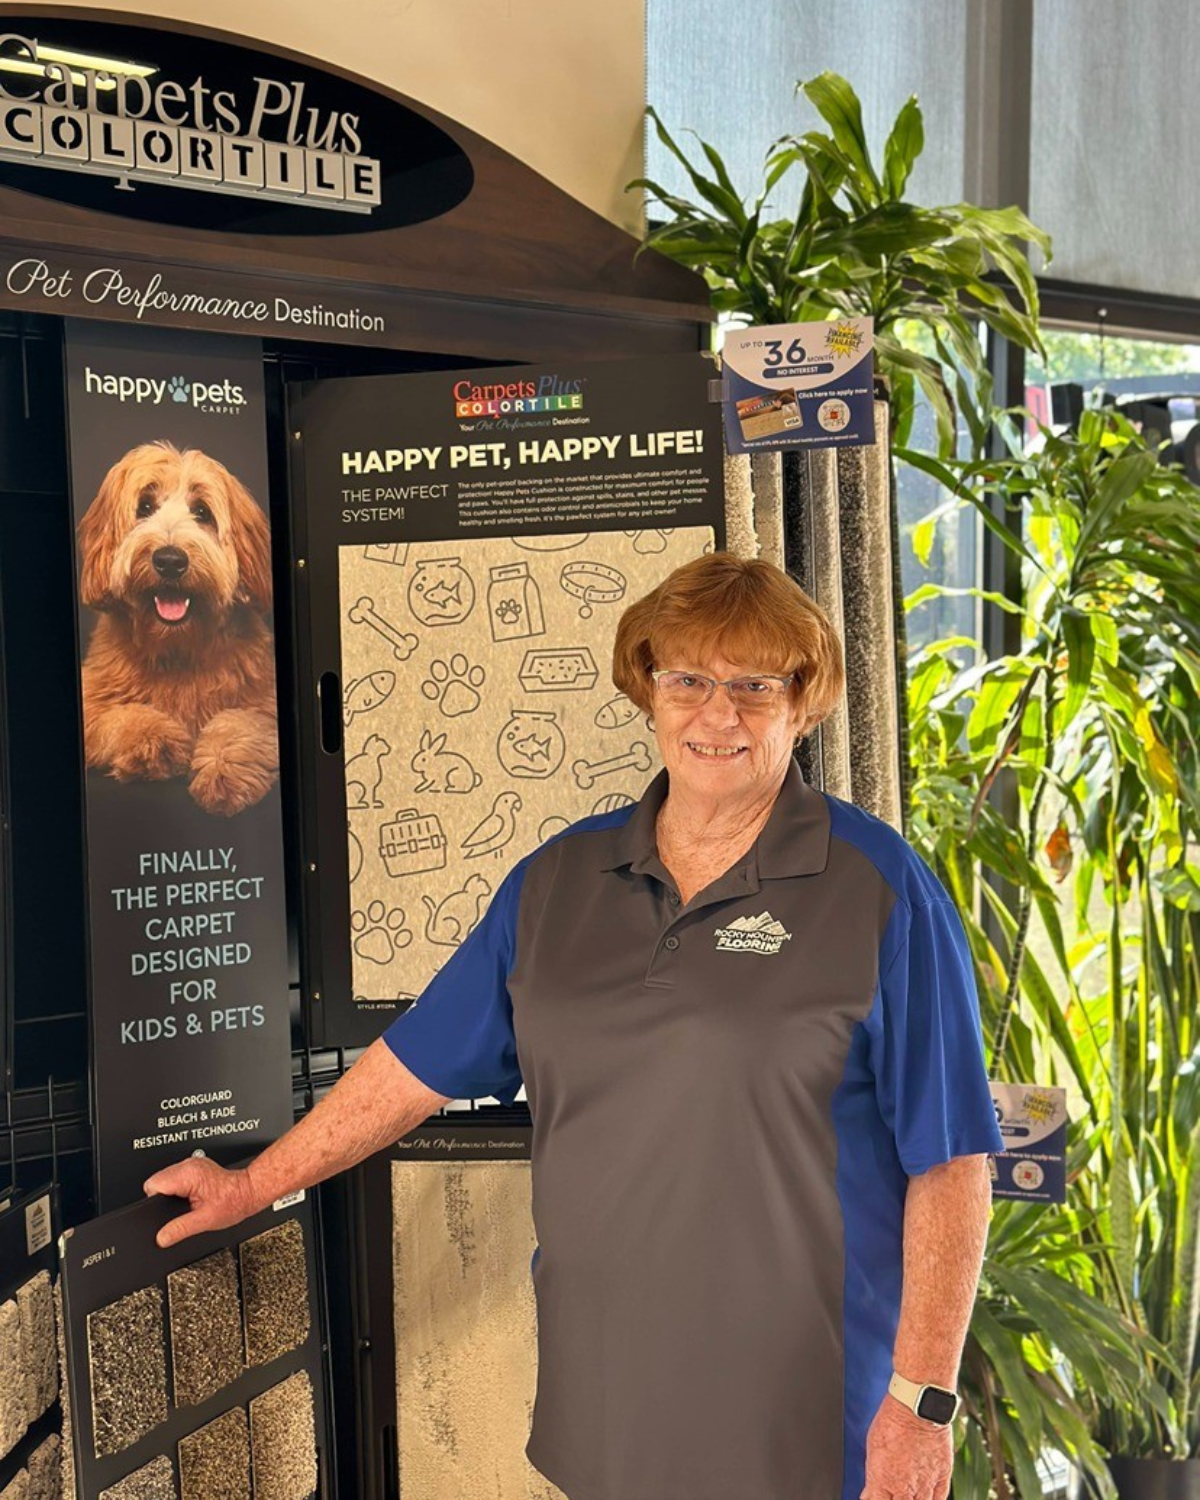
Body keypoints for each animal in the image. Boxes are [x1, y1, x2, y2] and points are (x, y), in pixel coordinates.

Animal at [77, 444, 279, 822]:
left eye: (201, 512)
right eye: (144, 507)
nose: (170, 560)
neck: (178, 648)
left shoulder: (264, 701)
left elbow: (238, 722)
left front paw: (223, 770)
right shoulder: (91, 695)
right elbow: (122, 716)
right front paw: (156, 742)